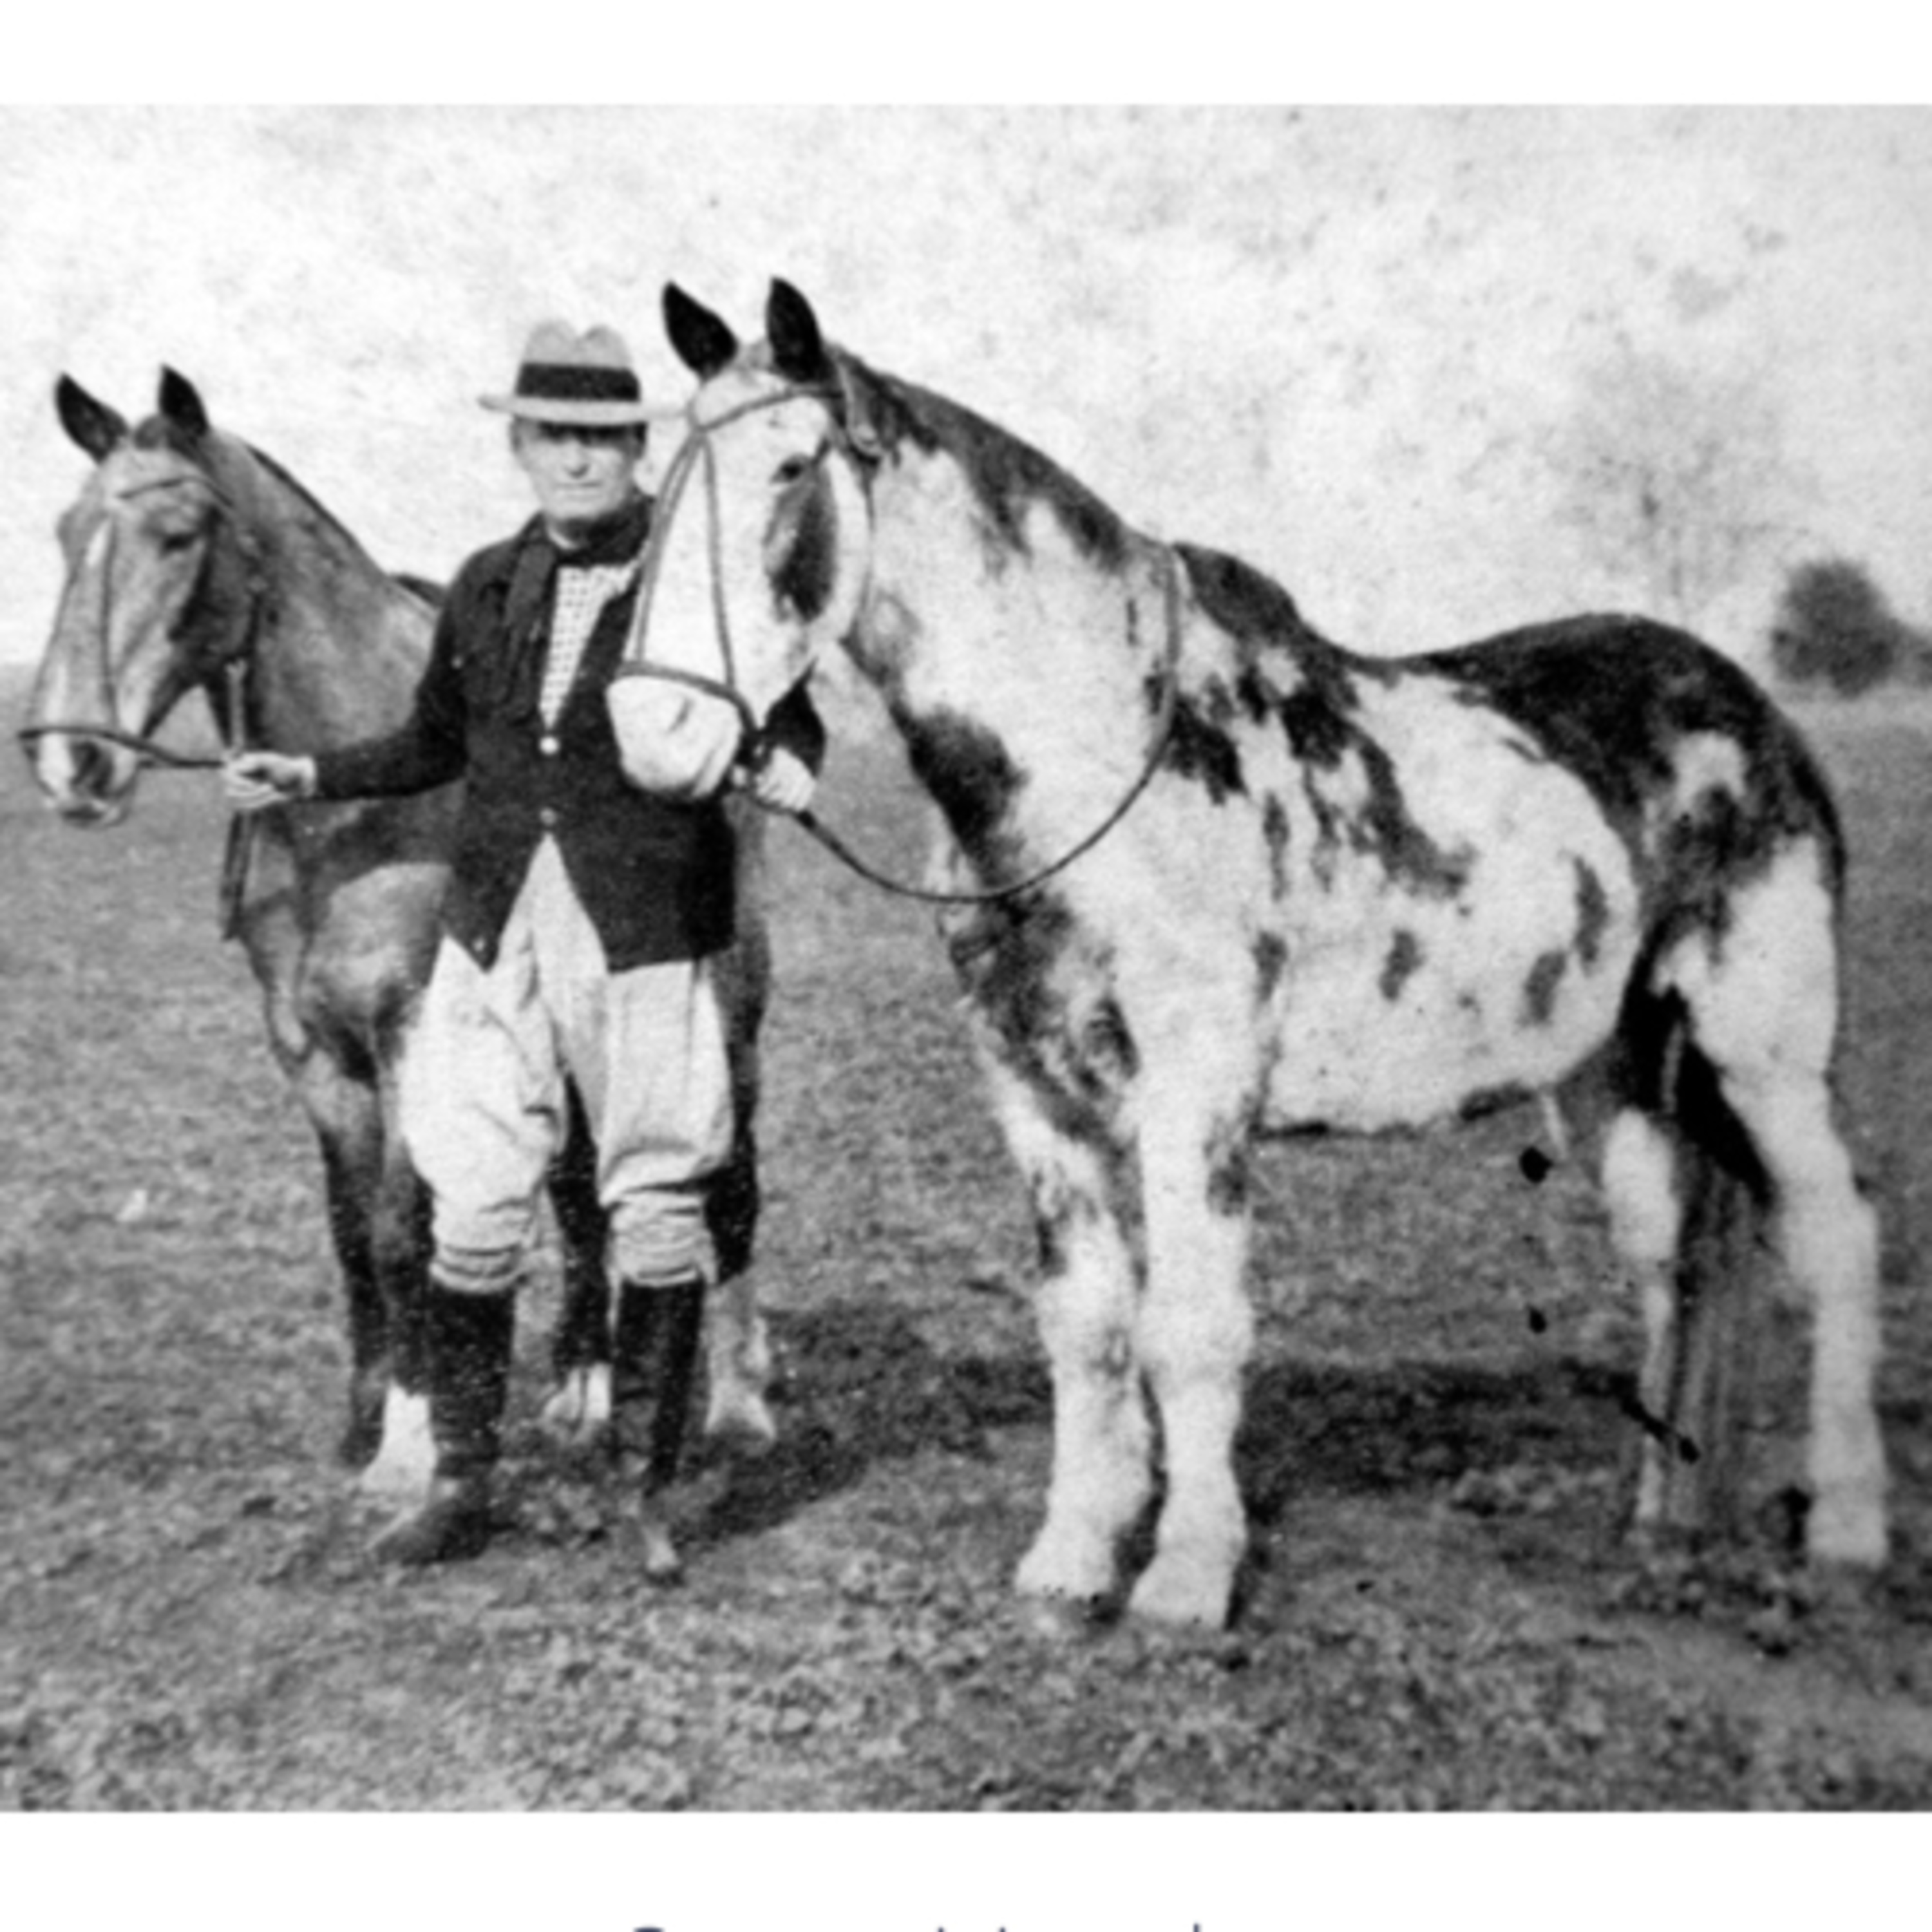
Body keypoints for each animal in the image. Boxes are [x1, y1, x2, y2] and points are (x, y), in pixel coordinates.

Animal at [620, 277, 1889, 1630]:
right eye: (662, 482)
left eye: (789, 467)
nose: (654, 729)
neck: (1100, 751)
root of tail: (1752, 713)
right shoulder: (1034, 1096)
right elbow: (1088, 1327)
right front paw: (1072, 1562)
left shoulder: (1197, 1090)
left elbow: (1192, 1328)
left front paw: (1186, 1576)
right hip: (1610, 1070)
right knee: (1673, 1265)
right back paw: (1658, 1529)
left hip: (1762, 1057)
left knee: (1833, 1241)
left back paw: (1848, 1533)